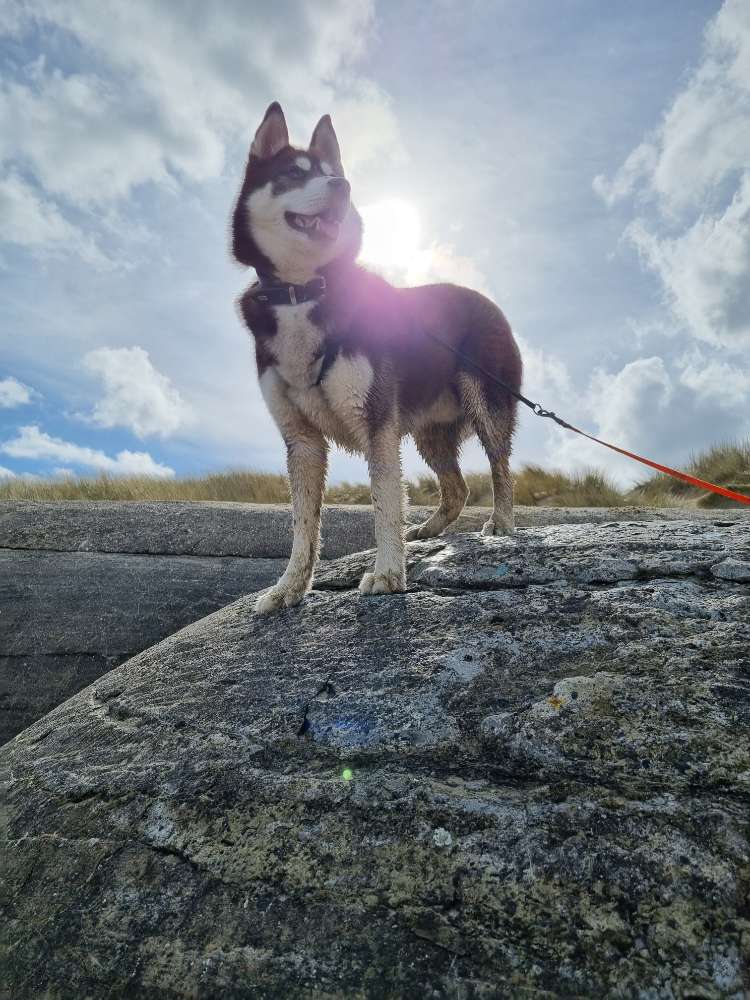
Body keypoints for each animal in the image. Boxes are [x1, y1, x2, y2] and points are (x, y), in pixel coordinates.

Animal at [234, 105, 524, 612]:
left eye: (331, 172)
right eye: (294, 174)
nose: (342, 187)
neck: (303, 292)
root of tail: (490, 303)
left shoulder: (376, 422)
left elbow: (385, 501)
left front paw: (388, 573)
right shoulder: (301, 441)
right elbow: (302, 526)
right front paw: (289, 587)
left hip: (484, 400)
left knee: (499, 468)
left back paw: (502, 523)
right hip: (430, 432)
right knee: (457, 488)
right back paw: (428, 531)